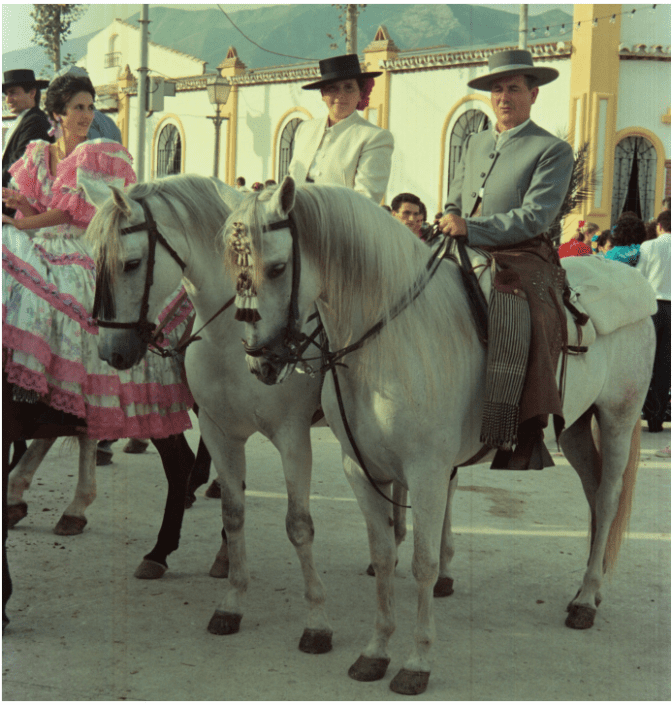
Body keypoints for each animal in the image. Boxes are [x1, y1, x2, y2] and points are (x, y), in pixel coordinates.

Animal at [223, 176, 652, 692]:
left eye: (278, 266)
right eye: (233, 266)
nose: (261, 362)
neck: (391, 341)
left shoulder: (427, 473)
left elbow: (423, 564)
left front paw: (417, 662)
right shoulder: (361, 469)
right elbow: (384, 555)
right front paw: (375, 650)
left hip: (618, 417)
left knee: (606, 498)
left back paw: (586, 601)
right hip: (573, 425)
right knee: (592, 492)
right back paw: (591, 586)